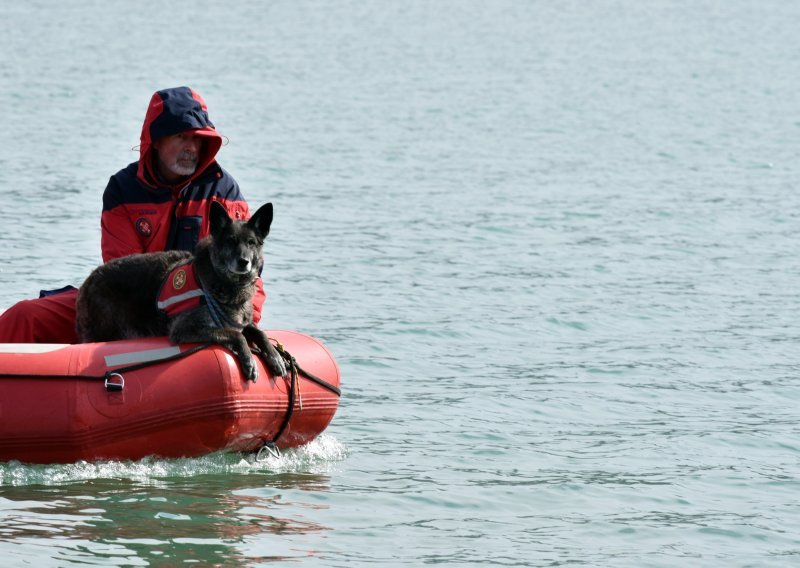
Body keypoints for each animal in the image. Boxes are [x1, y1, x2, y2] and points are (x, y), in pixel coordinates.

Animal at [76, 200, 288, 382]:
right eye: (231, 241)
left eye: (251, 242)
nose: (243, 262)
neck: (222, 283)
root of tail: (89, 279)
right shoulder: (186, 329)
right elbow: (237, 335)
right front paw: (249, 359)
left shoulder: (240, 321)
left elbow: (258, 332)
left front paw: (275, 356)